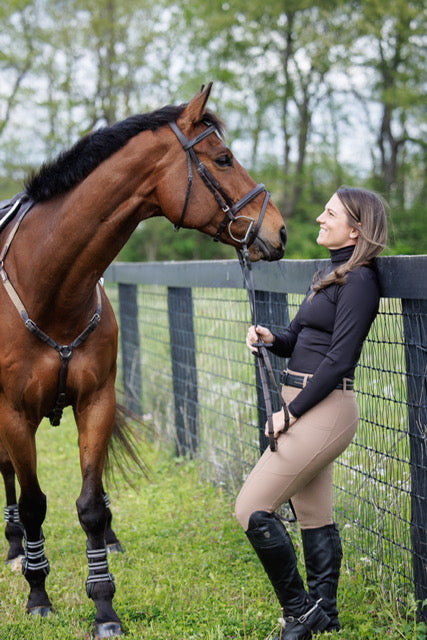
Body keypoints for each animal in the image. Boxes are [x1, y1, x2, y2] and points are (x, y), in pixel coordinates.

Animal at [0, 82, 288, 636]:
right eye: (223, 158)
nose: (279, 231)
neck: (48, 287)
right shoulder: (13, 416)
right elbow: (33, 504)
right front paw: (38, 593)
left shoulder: (96, 402)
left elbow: (90, 507)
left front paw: (104, 606)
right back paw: (14, 549)